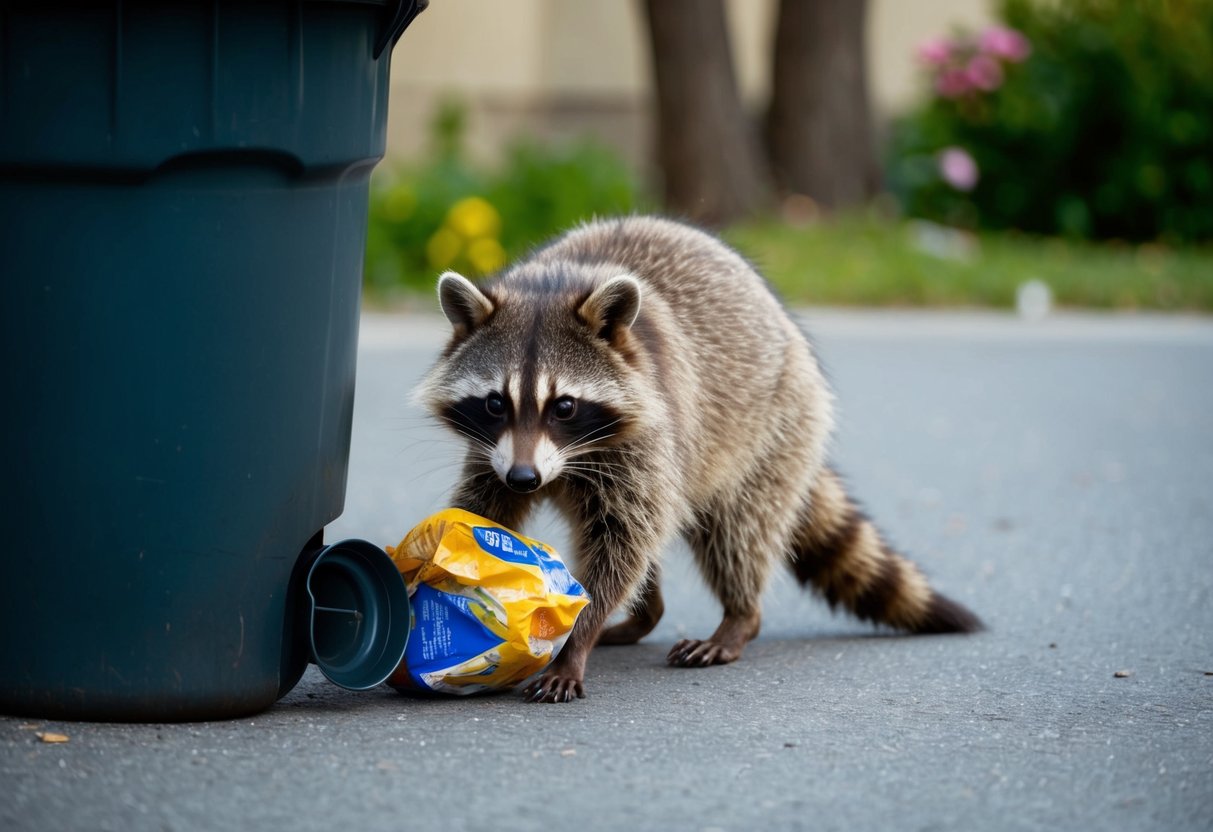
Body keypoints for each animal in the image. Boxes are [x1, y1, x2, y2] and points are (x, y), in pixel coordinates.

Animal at [416, 216, 981, 703]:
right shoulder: (494, 451)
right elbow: (489, 506)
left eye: (565, 406)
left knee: (734, 530)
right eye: (495, 403)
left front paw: (576, 638)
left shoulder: (649, 433)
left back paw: (739, 615)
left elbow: (623, 545)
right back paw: (648, 612)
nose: (525, 477)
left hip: (772, 428)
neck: (554, 284)